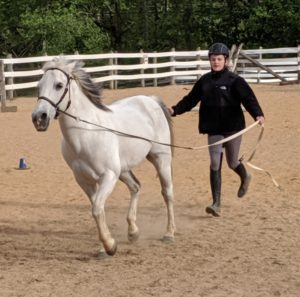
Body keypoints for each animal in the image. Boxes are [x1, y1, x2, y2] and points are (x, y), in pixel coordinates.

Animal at [31, 57, 175, 254]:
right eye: (39, 86)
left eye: (59, 85)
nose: (39, 118)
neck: (86, 134)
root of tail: (150, 100)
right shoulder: (84, 181)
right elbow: (97, 209)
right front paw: (104, 247)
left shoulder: (108, 176)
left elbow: (97, 209)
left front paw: (110, 246)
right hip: (124, 169)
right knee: (136, 187)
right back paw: (133, 232)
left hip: (161, 160)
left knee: (167, 193)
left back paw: (169, 233)